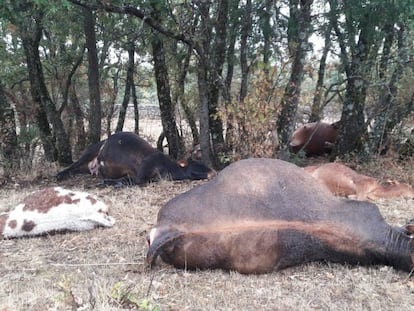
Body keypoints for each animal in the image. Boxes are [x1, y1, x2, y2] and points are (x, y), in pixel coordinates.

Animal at [57, 133, 217, 186]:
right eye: (197, 164)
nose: (214, 172)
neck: (167, 167)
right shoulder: (140, 175)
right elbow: (130, 181)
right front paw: (106, 183)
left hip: (86, 167)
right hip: (89, 152)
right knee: (72, 165)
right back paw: (59, 175)